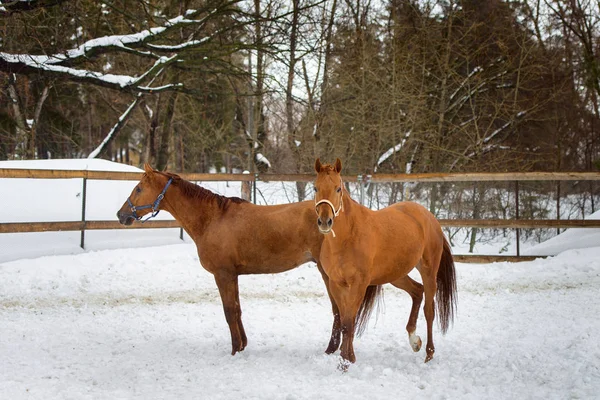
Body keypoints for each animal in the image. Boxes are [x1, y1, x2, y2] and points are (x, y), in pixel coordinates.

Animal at [116, 164, 358, 354]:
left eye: (138, 188)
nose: (121, 215)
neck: (212, 219)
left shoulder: (222, 275)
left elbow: (229, 312)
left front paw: (234, 350)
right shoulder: (233, 275)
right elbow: (237, 309)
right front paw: (242, 345)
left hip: (327, 274)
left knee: (338, 310)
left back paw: (330, 350)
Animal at [314, 158, 454, 364]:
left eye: (338, 188)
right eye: (315, 188)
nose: (325, 221)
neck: (347, 237)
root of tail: (430, 218)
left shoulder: (359, 285)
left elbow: (349, 322)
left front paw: (346, 361)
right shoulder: (336, 284)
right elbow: (345, 320)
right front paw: (346, 357)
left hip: (429, 271)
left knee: (429, 309)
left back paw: (429, 352)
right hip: (396, 274)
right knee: (417, 291)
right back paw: (414, 340)